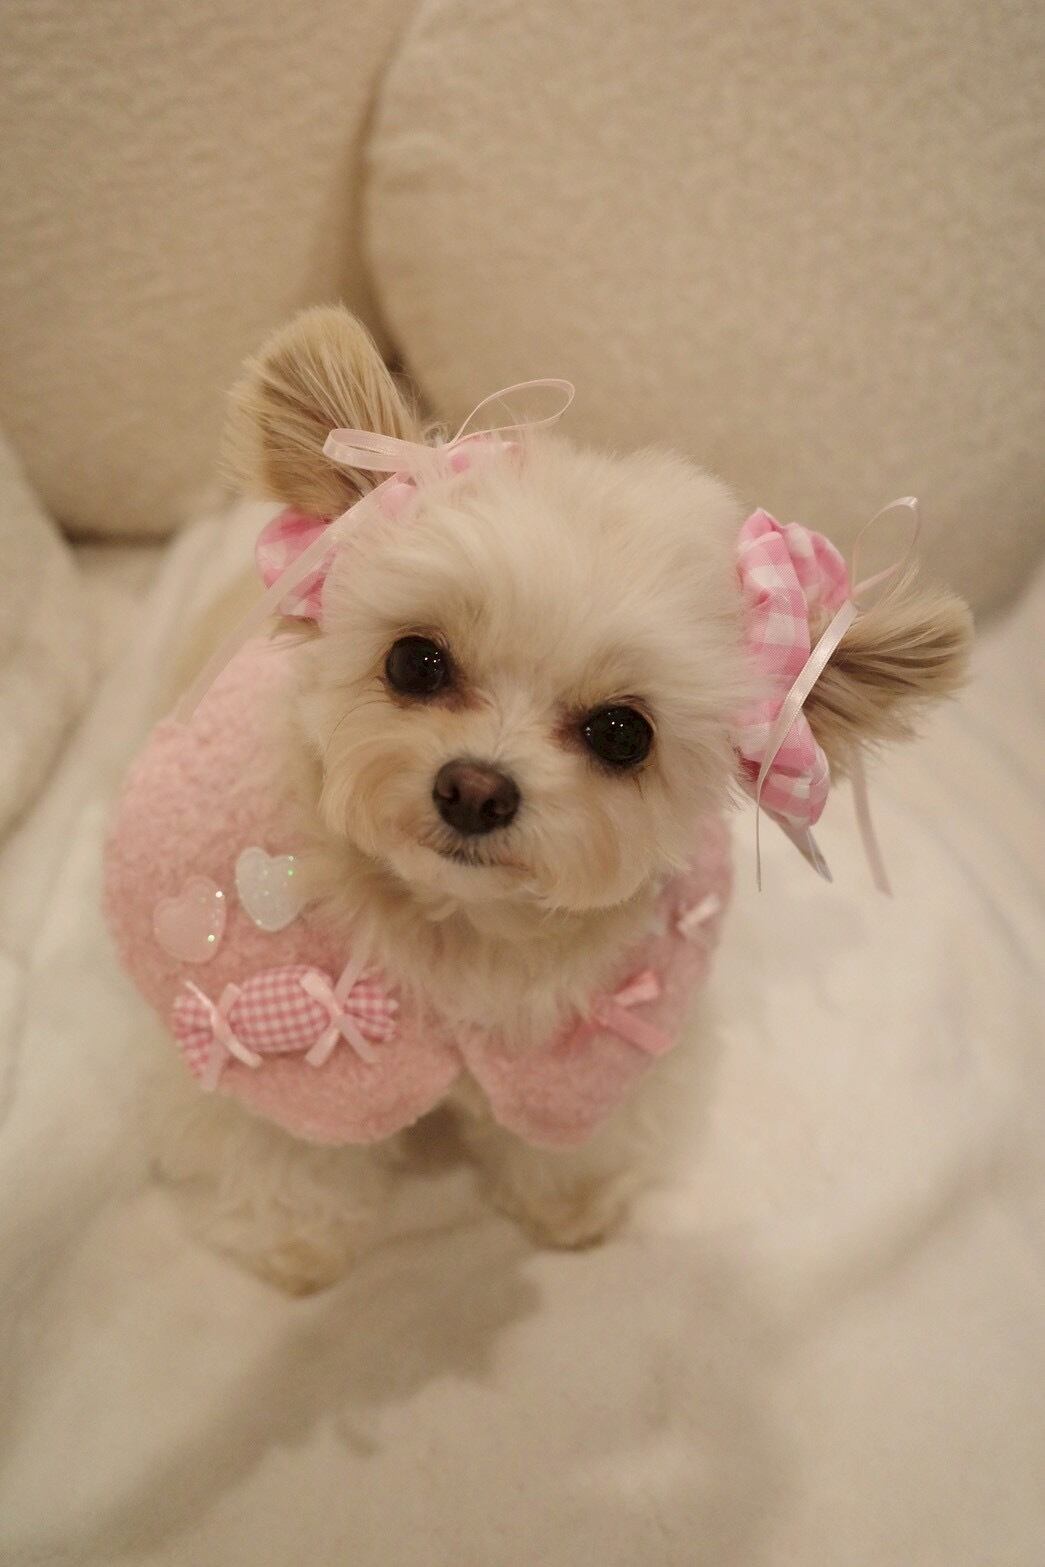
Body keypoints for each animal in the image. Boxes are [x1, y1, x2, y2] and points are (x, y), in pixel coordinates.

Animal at [105, 306, 971, 1293]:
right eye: (414, 660)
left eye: (622, 733)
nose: (475, 791)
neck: (458, 927)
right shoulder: (272, 1072)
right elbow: (287, 1152)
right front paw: (300, 1250)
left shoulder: (595, 1058)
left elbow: (572, 1137)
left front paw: (572, 1207)